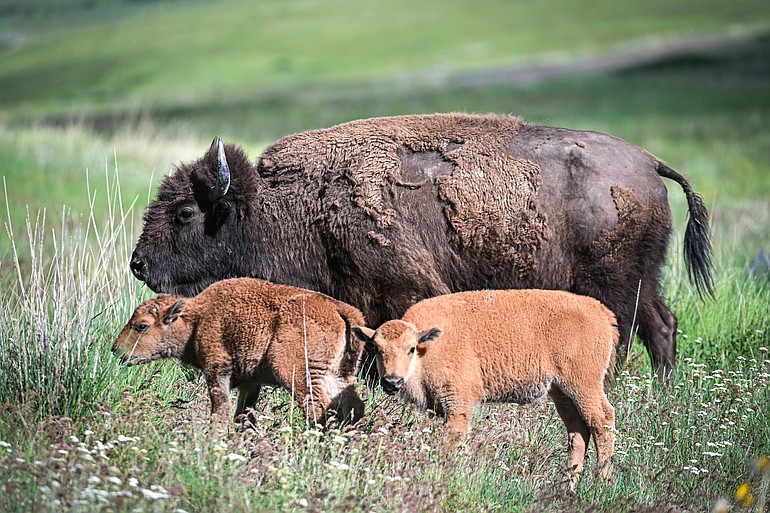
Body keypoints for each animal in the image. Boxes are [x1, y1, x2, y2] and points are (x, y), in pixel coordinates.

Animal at [130, 113, 713, 378]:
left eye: (184, 212)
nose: (138, 263)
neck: (292, 204)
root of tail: (649, 162)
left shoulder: (399, 291)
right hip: (643, 278)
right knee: (663, 325)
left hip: (615, 282)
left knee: (633, 332)